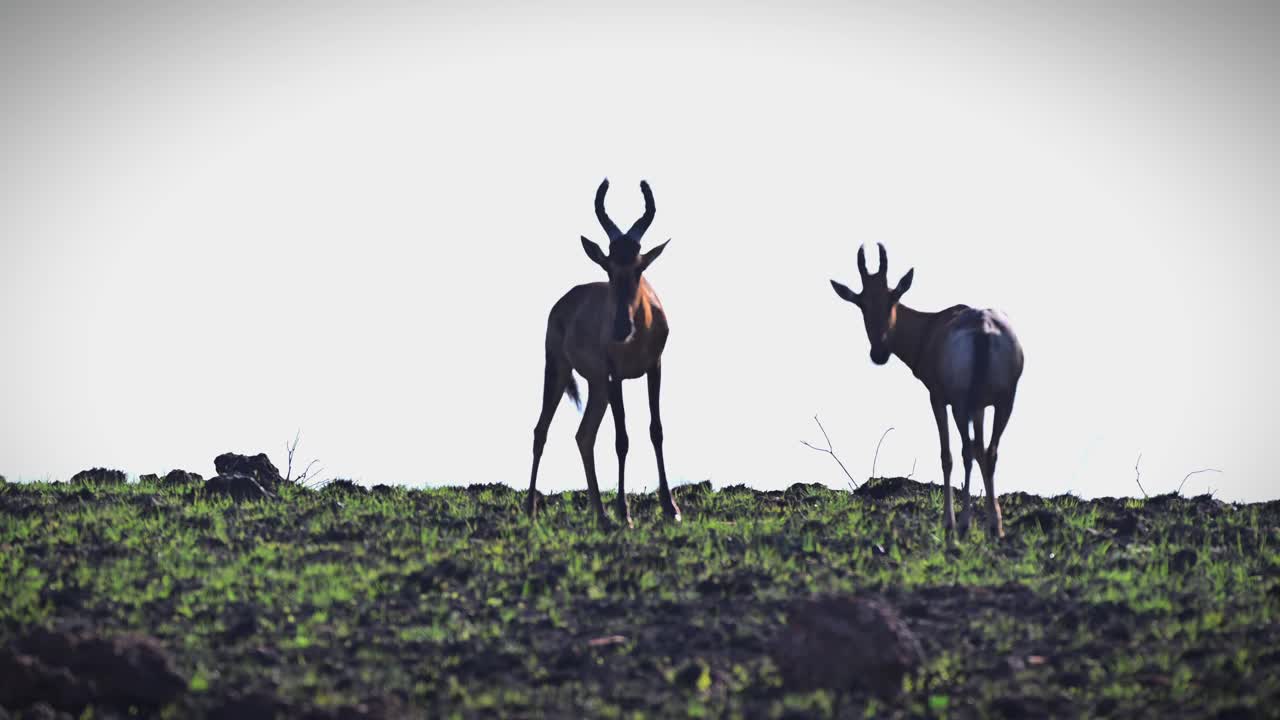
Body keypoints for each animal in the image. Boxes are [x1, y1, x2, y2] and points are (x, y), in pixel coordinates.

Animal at [524, 179, 680, 527]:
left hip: (597, 386)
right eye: (607, 265)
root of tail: (564, 301)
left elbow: (657, 430)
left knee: (584, 435)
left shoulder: (655, 367)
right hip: (560, 369)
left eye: (639, 267)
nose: (621, 329)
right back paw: (530, 509)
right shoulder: (615, 375)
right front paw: (625, 512)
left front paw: (671, 508)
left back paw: (601, 514)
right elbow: (621, 438)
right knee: (542, 429)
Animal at [829, 243, 1029, 535]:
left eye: (893, 298)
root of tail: (983, 328)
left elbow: (947, 456)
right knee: (989, 452)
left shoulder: (938, 398)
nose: (879, 353)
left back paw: (962, 524)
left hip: (960, 405)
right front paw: (993, 520)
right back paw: (995, 528)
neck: (933, 326)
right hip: (1004, 401)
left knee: (965, 452)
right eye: (862, 303)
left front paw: (949, 521)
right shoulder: (980, 407)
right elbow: (981, 450)